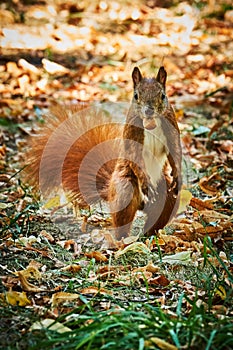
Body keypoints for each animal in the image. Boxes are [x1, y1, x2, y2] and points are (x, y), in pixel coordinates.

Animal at [25, 66, 182, 241]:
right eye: (136, 96)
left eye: (163, 95)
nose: (149, 111)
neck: (151, 123)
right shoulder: (132, 130)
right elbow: (134, 155)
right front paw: (145, 182)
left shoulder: (171, 124)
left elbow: (175, 150)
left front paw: (177, 174)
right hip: (123, 187)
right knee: (123, 216)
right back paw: (124, 240)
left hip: (167, 193)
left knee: (162, 210)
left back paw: (149, 235)